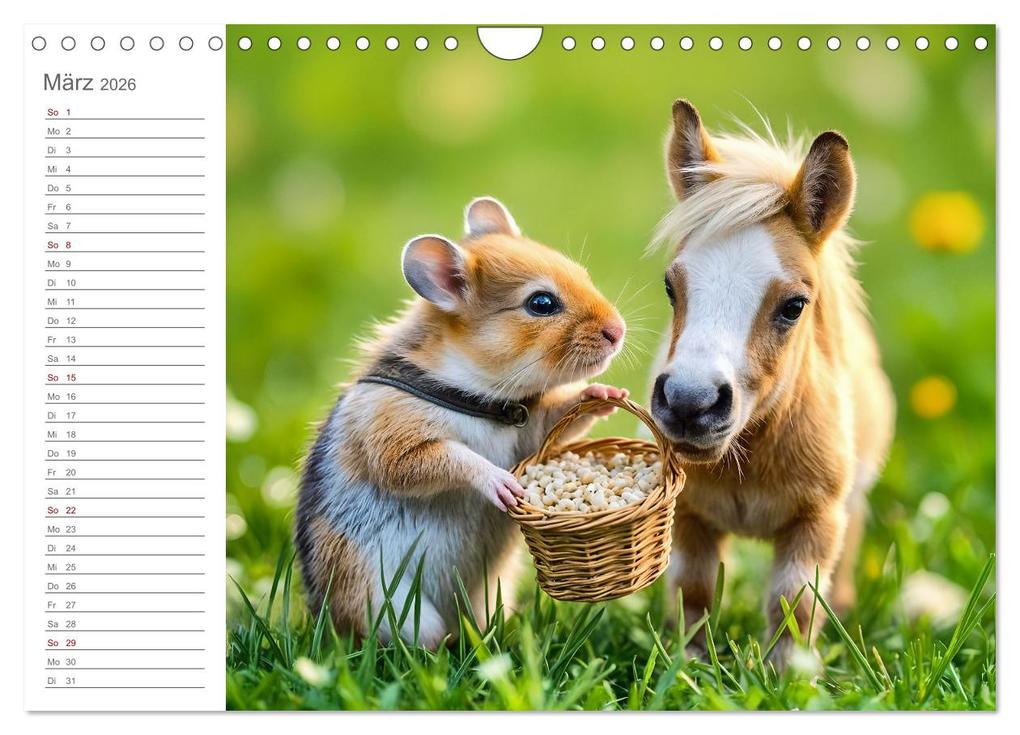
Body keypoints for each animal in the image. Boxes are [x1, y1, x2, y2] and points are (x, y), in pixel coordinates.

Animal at [295, 196, 627, 647]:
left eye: (582, 274)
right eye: (541, 303)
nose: (618, 330)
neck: (482, 396)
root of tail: (325, 619)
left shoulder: (531, 432)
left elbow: (558, 418)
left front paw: (604, 395)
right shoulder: (395, 437)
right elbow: (449, 460)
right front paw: (504, 486)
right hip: (390, 605)